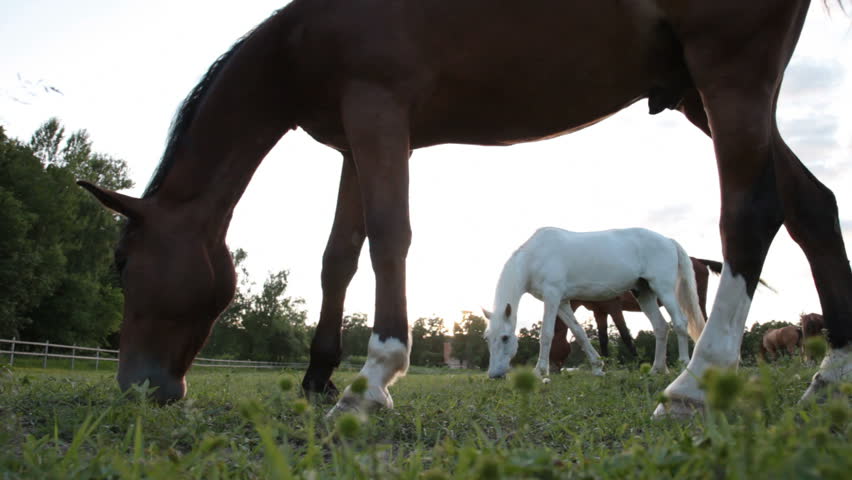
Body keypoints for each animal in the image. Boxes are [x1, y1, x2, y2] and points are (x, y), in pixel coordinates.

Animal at [484, 227, 705, 379]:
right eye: (487, 338)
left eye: (505, 338)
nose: (494, 375)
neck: (534, 257)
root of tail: (668, 240)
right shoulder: (563, 302)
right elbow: (579, 333)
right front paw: (598, 367)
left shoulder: (552, 297)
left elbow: (546, 334)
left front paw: (540, 371)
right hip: (644, 293)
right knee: (660, 326)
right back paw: (656, 369)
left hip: (663, 289)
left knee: (680, 323)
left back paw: (683, 366)